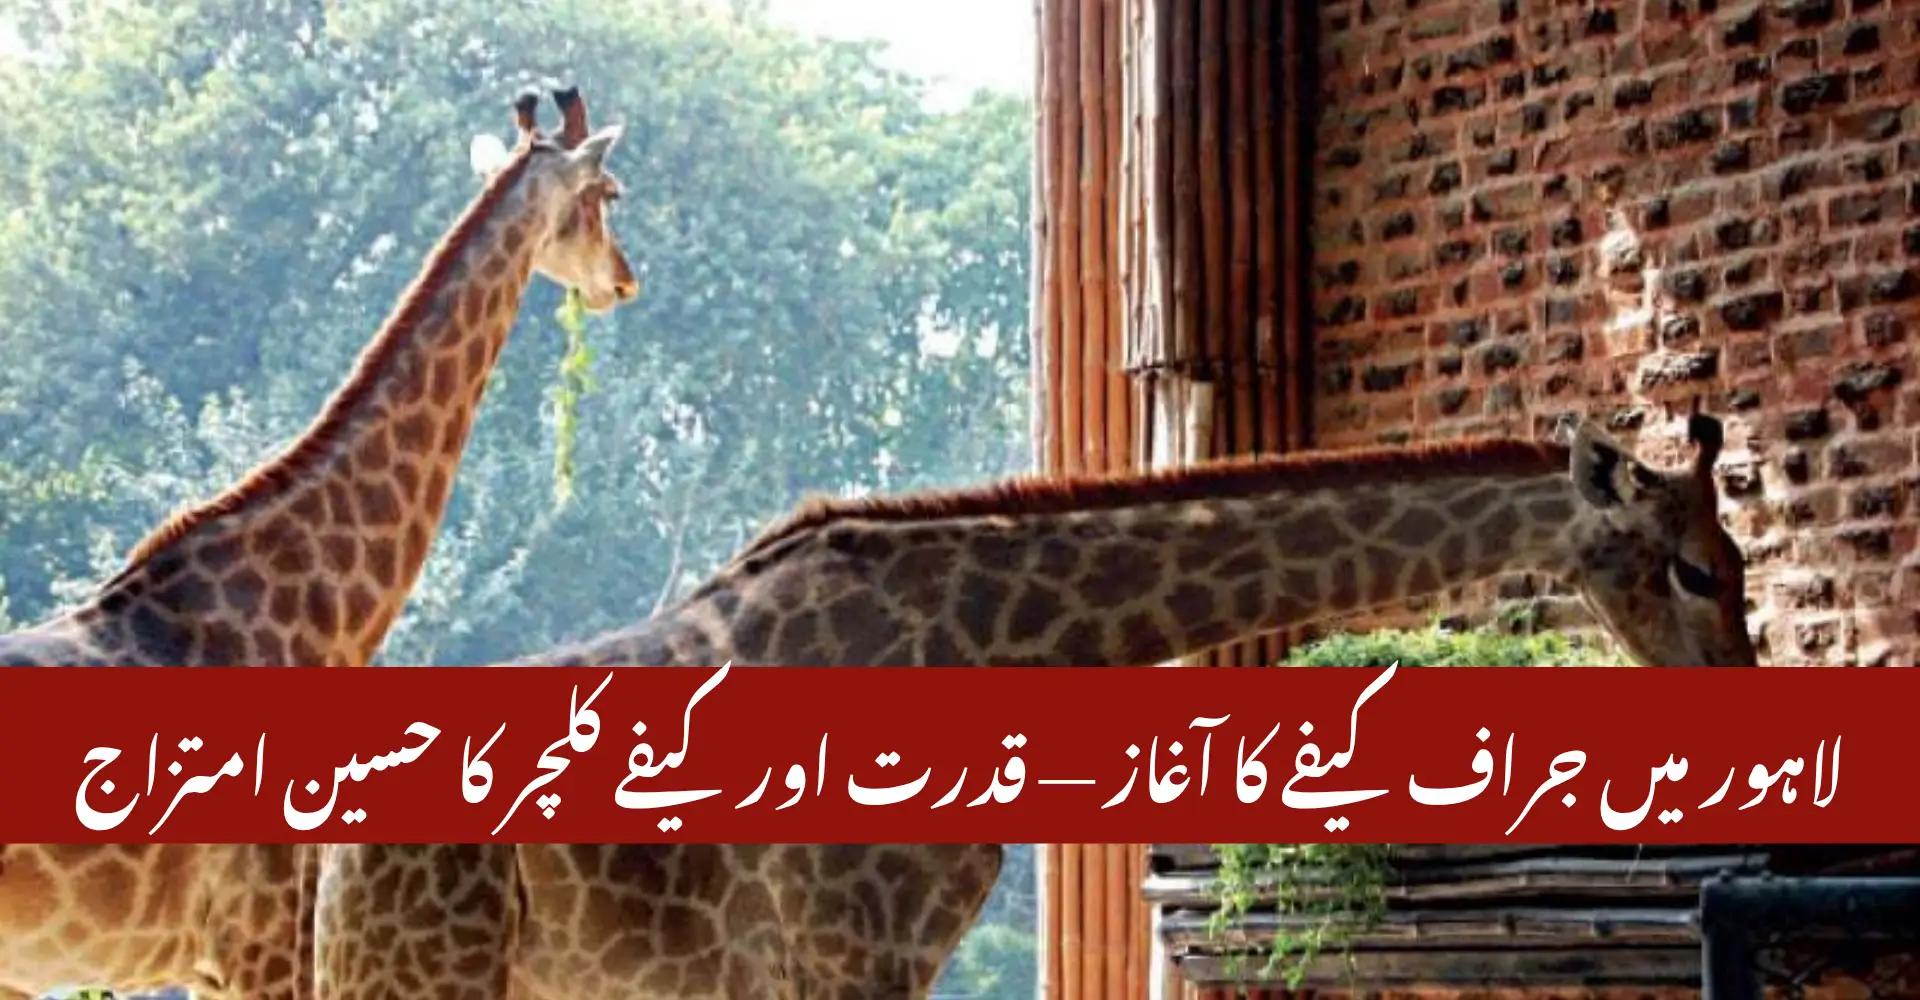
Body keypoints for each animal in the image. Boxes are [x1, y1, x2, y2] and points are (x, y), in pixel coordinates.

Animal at [312, 413, 1759, 1000]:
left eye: (1742, 560)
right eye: (1694, 566)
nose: (1738, 698)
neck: (985, 633)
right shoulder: (848, 950)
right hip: (424, 959)